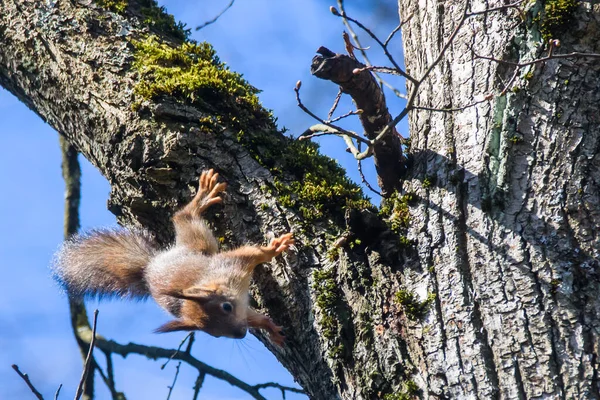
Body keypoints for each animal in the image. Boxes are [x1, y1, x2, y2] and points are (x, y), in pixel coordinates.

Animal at [54, 167, 292, 346]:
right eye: (214, 334)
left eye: (226, 307)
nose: (241, 334)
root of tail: (151, 265)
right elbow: (253, 315)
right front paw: (269, 326)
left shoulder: (230, 265)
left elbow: (254, 253)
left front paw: (274, 248)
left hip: (197, 243)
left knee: (183, 216)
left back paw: (202, 198)